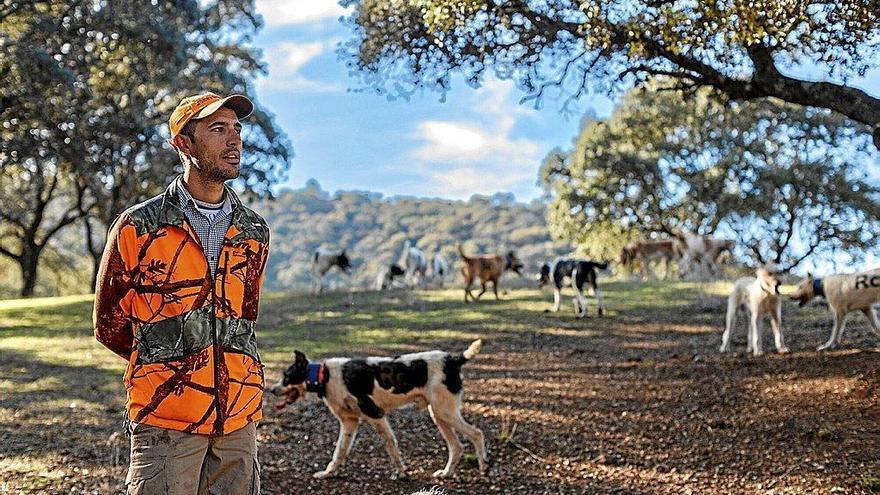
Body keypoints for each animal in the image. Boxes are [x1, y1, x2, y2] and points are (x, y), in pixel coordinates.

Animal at [268, 340, 488, 480]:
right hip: (439, 414)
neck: (325, 376)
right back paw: (447, 473)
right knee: (456, 447)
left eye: (286, 376)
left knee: (477, 434)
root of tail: (453, 359)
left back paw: (484, 466)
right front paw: (328, 473)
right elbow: (339, 452)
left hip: (445, 413)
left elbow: (391, 445)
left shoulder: (375, 414)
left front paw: (401, 473)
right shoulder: (349, 422)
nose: (271, 390)